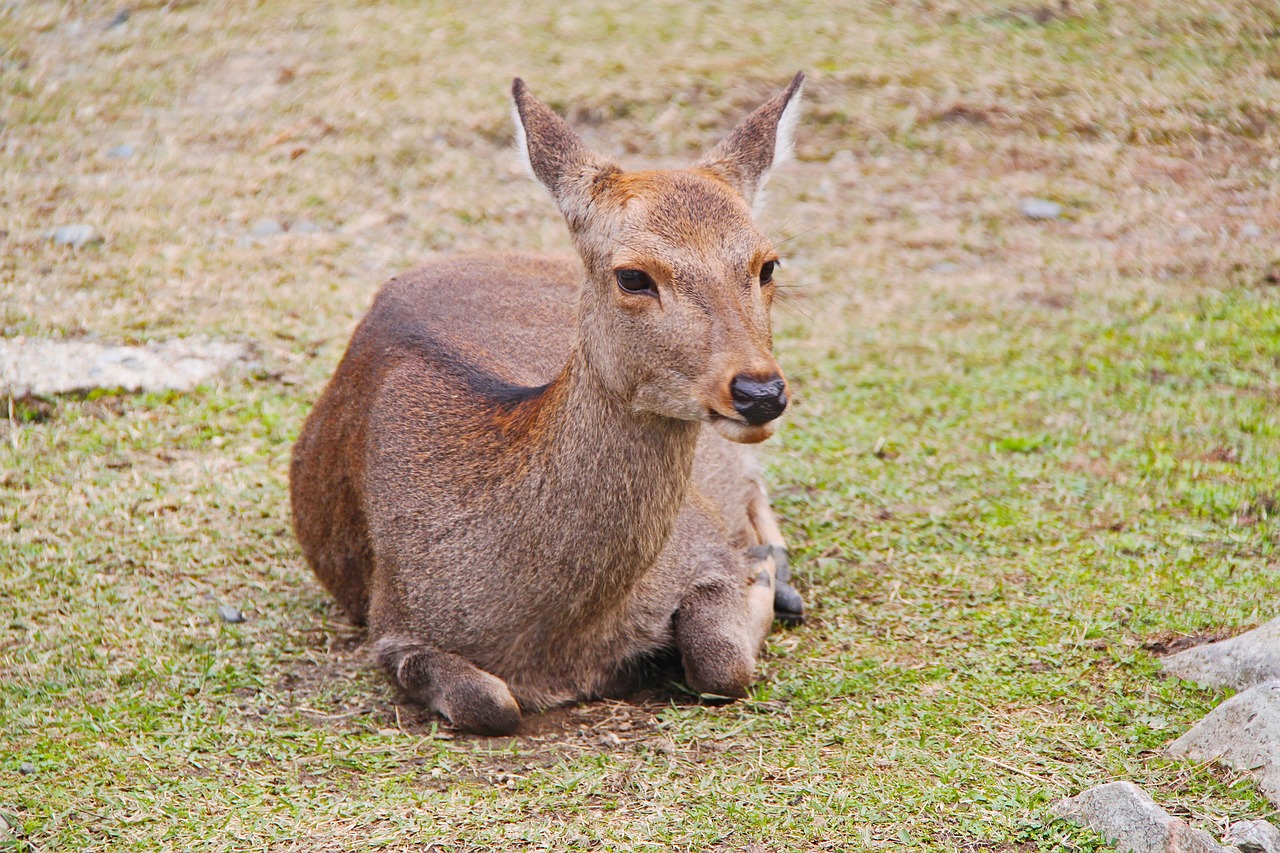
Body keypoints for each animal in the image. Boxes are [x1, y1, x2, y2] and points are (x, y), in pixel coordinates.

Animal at [291, 71, 808, 732]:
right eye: (633, 276)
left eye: (767, 264)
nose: (759, 392)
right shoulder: (392, 621)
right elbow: (488, 702)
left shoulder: (702, 544)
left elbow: (724, 665)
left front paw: (760, 578)